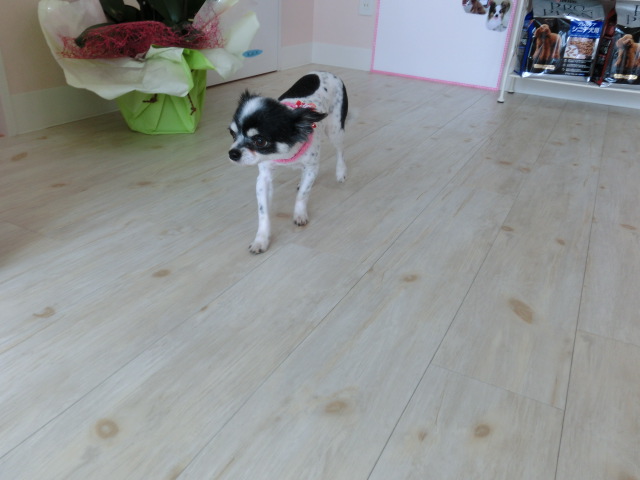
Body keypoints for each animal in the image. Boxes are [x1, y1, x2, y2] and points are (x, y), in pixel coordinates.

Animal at [228, 71, 348, 254]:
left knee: (340, 150)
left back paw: (341, 172)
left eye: (260, 141)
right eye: (232, 134)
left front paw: (300, 214)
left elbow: (303, 194)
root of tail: (326, 72)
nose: (232, 153)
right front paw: (261, 239)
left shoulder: (312, 168)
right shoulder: (264, 178)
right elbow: (263, 212)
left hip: (335, 130)